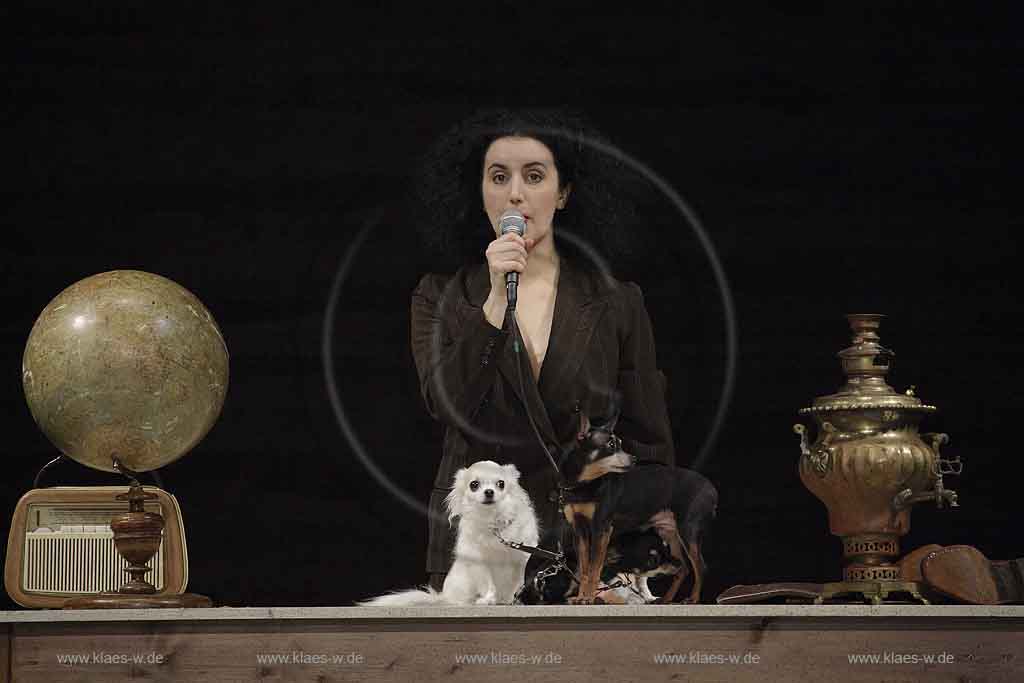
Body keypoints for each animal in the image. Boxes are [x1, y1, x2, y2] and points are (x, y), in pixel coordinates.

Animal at [356, 462, 540, 606]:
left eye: (501, 483)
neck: (493, 521)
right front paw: (488, 598)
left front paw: (515, 597)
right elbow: (487, 581)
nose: (489, 492)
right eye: (474, 484)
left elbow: (519, 580)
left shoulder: (521, 558)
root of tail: (443, 597)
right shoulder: (478, 560)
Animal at [557, 409, 716, 602]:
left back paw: (692, 599)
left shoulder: (601, 529)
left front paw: (588, 599)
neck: (583, 485)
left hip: (688, 531)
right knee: (683, 568)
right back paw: (666, 600)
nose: (634, 459)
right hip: (669, 532)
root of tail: (712, 489)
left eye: (620, 443)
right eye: (611, 445)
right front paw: (581, 597)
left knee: (700, 567)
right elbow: (584, 570)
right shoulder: (579, 530)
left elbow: (595, 569)